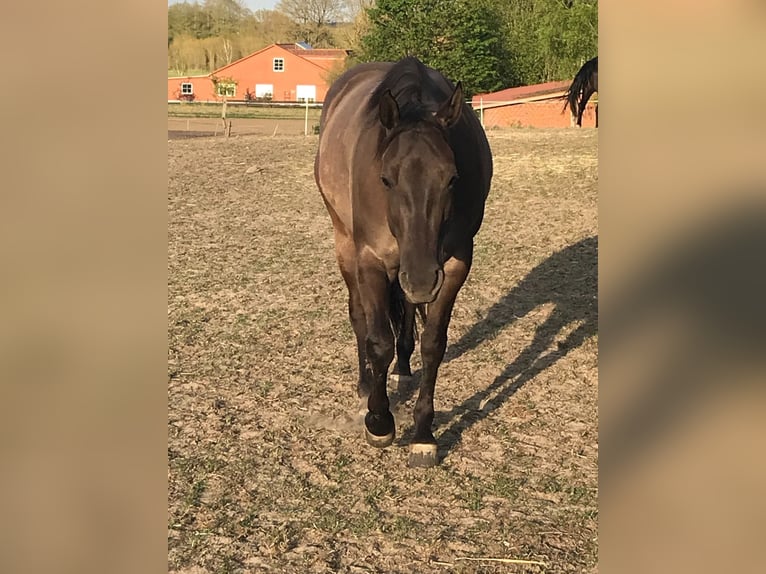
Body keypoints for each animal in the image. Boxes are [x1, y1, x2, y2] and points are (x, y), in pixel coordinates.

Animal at [316, 55, 496, 468]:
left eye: (452, 179)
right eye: (385, 179)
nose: (421, 279)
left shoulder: (455, 265)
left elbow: (433, 343)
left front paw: (424, 433)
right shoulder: (370, 260)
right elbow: (378, 339)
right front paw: (379, 421)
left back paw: (402, 370)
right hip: (345, 243)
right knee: (359, 316)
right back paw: (365, 383)